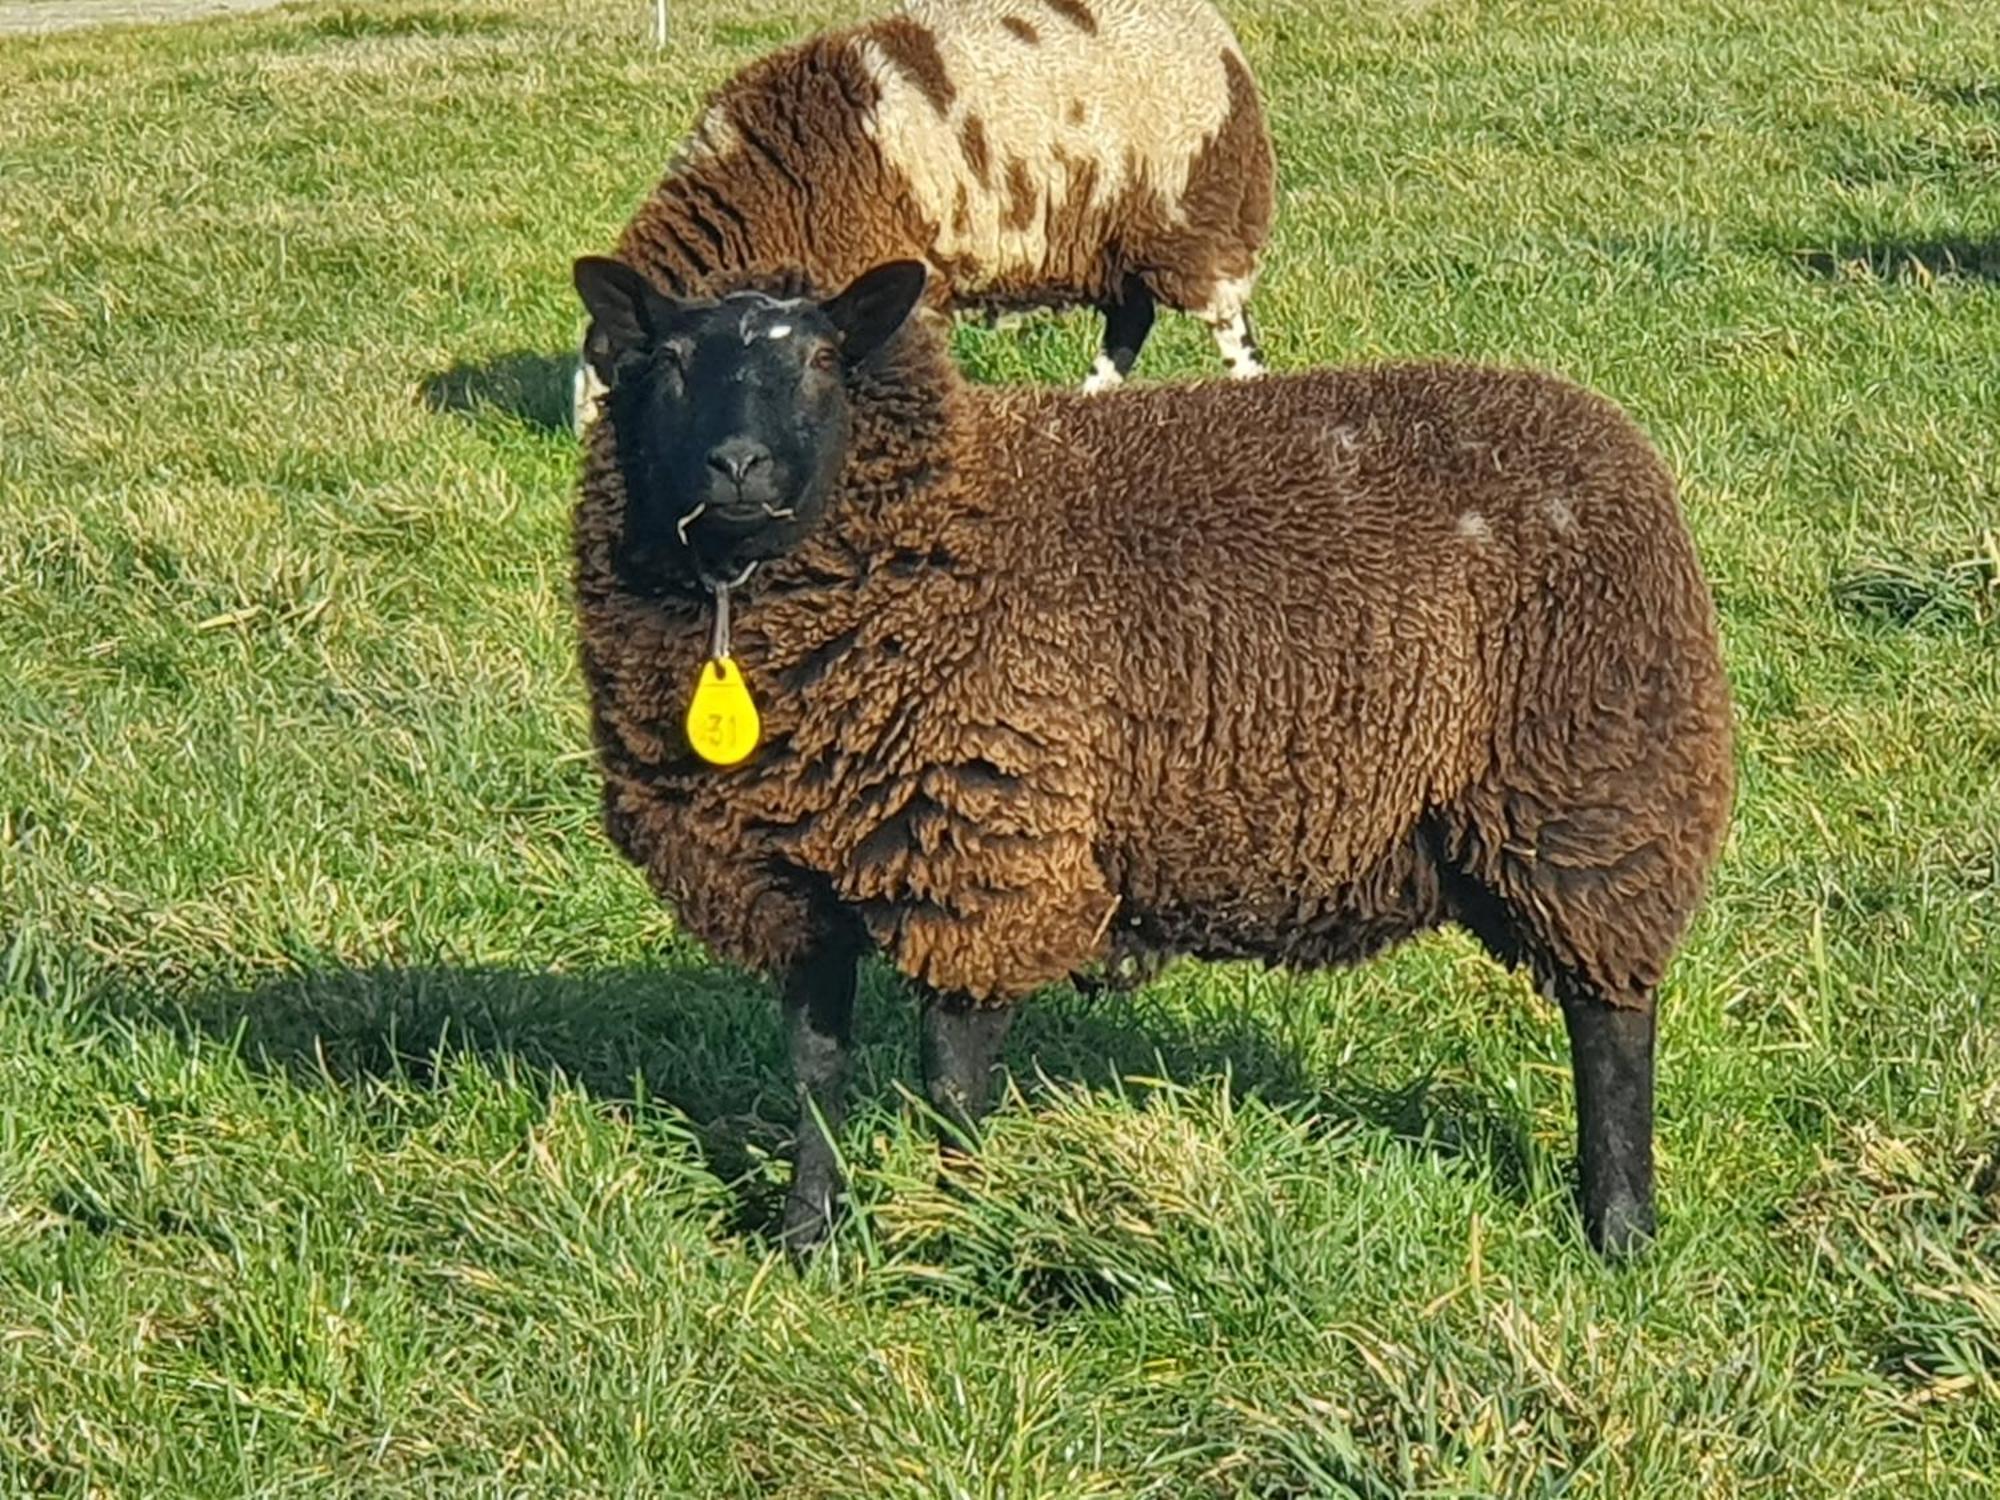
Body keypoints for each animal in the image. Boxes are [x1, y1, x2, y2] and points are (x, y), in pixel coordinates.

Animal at [568, 262, 1736, 1272]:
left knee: (1611, 1021)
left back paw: (1618, 1229)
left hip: (1590, 793)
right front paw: (807, 1238)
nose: (737, 468)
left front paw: (961, 1225)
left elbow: (951, 1079)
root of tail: (1614, 436)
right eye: (671, 360)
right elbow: (815, 1068)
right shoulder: (791, 882)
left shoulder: (987, 846)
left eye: (820, 360)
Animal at [572, 0, 1272, 432]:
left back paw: (1250, 394)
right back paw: (1084, 401)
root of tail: (1216, 37)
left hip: (1184, 208)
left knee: (1226, 322)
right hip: (1111, 236)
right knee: (1132, 320)